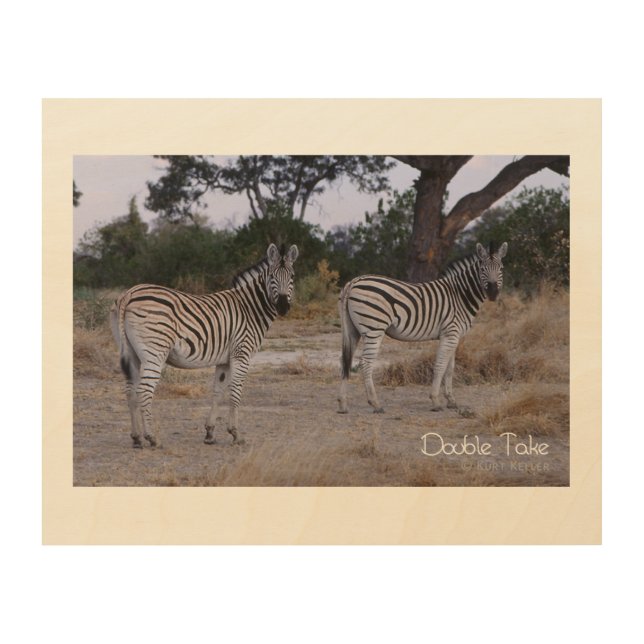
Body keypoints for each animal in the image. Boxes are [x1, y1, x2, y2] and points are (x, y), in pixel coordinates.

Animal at [110, 243, 299, 448]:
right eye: (272, 277)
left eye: (292, 277)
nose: (283, 307)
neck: (250, 309)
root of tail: (129, 293)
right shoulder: (241, 352)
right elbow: (235, 391)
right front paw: (236, 434)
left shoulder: (224, 359)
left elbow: (218, 390)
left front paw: (210, 433)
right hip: (155, 351)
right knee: (144, 391)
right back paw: (152, 438)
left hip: (131, 353)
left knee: (130, 391)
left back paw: (136, 437)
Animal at [337, 242, 507, 414]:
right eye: (482, 268)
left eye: (501, 268)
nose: (493, 293)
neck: (459, 295)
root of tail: (353, 282)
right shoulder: (450, 333)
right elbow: (440, 366)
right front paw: (435, 401)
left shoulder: (455, 336)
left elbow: (450, 368)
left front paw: (451, 401)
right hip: (374, 329)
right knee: (365, 363)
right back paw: (375, 403)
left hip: (353, 330)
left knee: (345, 361)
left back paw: (343, 404)